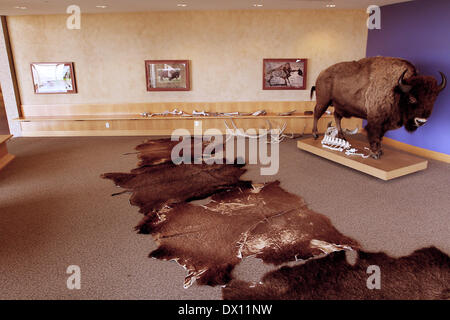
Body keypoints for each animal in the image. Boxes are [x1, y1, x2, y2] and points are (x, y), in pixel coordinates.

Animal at [312, 57, 444, 159]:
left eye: (433, 99)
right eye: (412, 98)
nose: (421, 121)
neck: (397, 90)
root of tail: (322, 73)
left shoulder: (385, 124)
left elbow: (380, 137)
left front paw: (380, 151)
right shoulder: (376, 120)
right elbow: (374, 135)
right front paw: (375, 153)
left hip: (340, 106)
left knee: (337, 116)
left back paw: (342, 136)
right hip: (323, 101)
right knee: (317, 114)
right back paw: (315, 134)